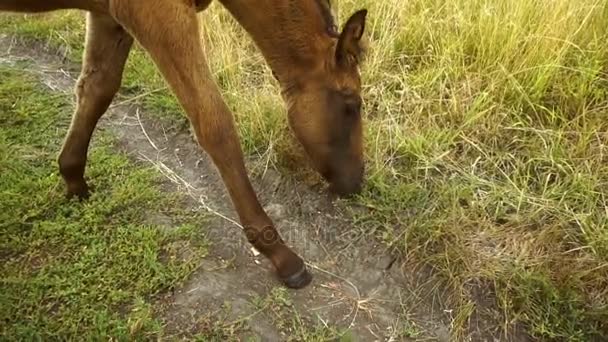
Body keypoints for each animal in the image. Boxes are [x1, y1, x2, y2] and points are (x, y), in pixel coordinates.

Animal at [1, 0, 366, 288]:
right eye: (352, 104)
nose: (357, 182)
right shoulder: (157, 14)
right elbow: (215, 124)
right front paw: (280, 254)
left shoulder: (108, 15)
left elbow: (97, 87)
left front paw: (73, 178)